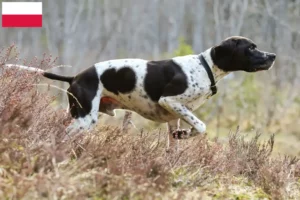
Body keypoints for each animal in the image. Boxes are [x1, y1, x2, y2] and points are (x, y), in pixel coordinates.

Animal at [4, 36, 276, 146]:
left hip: (79, 116)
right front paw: (189, 134)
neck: (204, 66)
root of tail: (77, 76)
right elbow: (201, 126)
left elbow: (176, 141)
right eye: (251, 48)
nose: (272, 55)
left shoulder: (174, 117)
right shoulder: (170, 101)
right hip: (84, 120)